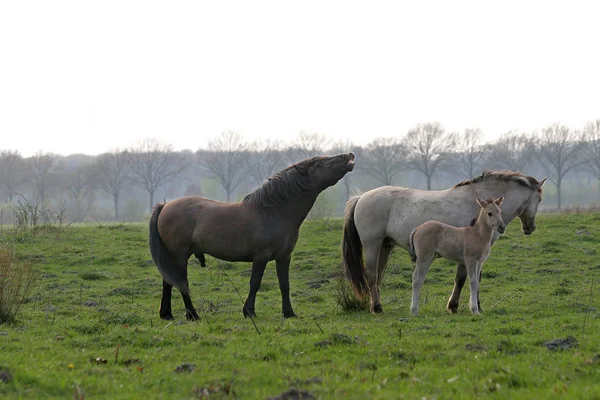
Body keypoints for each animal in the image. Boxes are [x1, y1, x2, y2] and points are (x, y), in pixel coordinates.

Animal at [151, 152, 356, 320]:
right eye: (320, 164)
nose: (349, 155)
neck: (274, 212)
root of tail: (165, 206)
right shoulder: (261, 256)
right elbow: (255, 283)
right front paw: (249, 312)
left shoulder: (284, 257)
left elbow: (284, 284)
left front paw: (289, 313)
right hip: (179, 255)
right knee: (181, 282)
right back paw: (193, 315)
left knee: (168, 282)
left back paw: (167, 314)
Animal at [340, 170, 548, 314]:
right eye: (539, 199)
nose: (530, 228)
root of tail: (362, 197)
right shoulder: (468, 256)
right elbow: (464, 279)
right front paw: (457, 306)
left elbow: (473, 278)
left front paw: (472, 306)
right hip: (372, 245)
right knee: (372, 275)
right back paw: (377, 307)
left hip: (385, 246)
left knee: (377, 276)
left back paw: (377, 305)